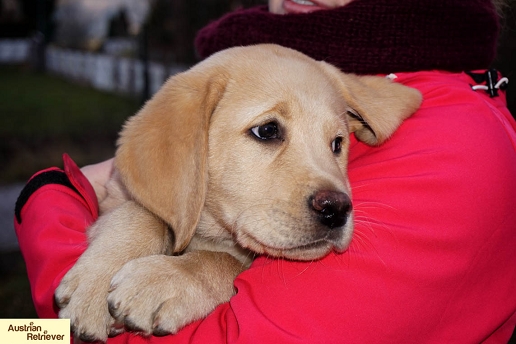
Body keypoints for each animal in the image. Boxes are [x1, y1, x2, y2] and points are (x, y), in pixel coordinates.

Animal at [54, 43, 422, 342]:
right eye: (267, 130)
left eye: (337, 144)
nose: (337, 209)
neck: (208, 231)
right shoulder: (116, 196)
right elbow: (143, 213)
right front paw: (95, 285)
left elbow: (224, 262)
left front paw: (163, 280)